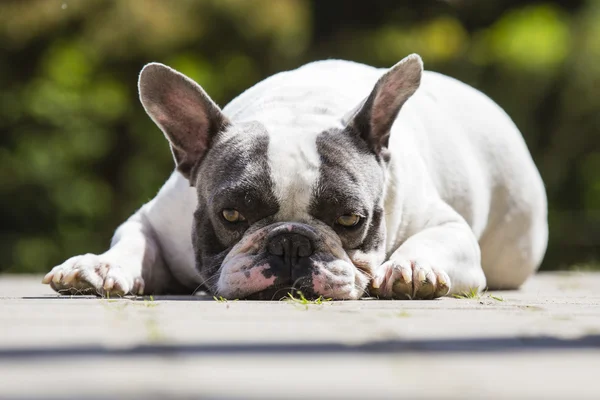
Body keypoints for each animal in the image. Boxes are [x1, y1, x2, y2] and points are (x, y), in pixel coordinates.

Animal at [41, 54, 548, 300]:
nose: (290, 242)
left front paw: (410, 266)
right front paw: (99, 266)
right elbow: (132, 241)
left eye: (350, 220)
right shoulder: (154, 219)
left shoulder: (446, 225)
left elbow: (435, 238)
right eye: (231, 215)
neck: (298, 108)